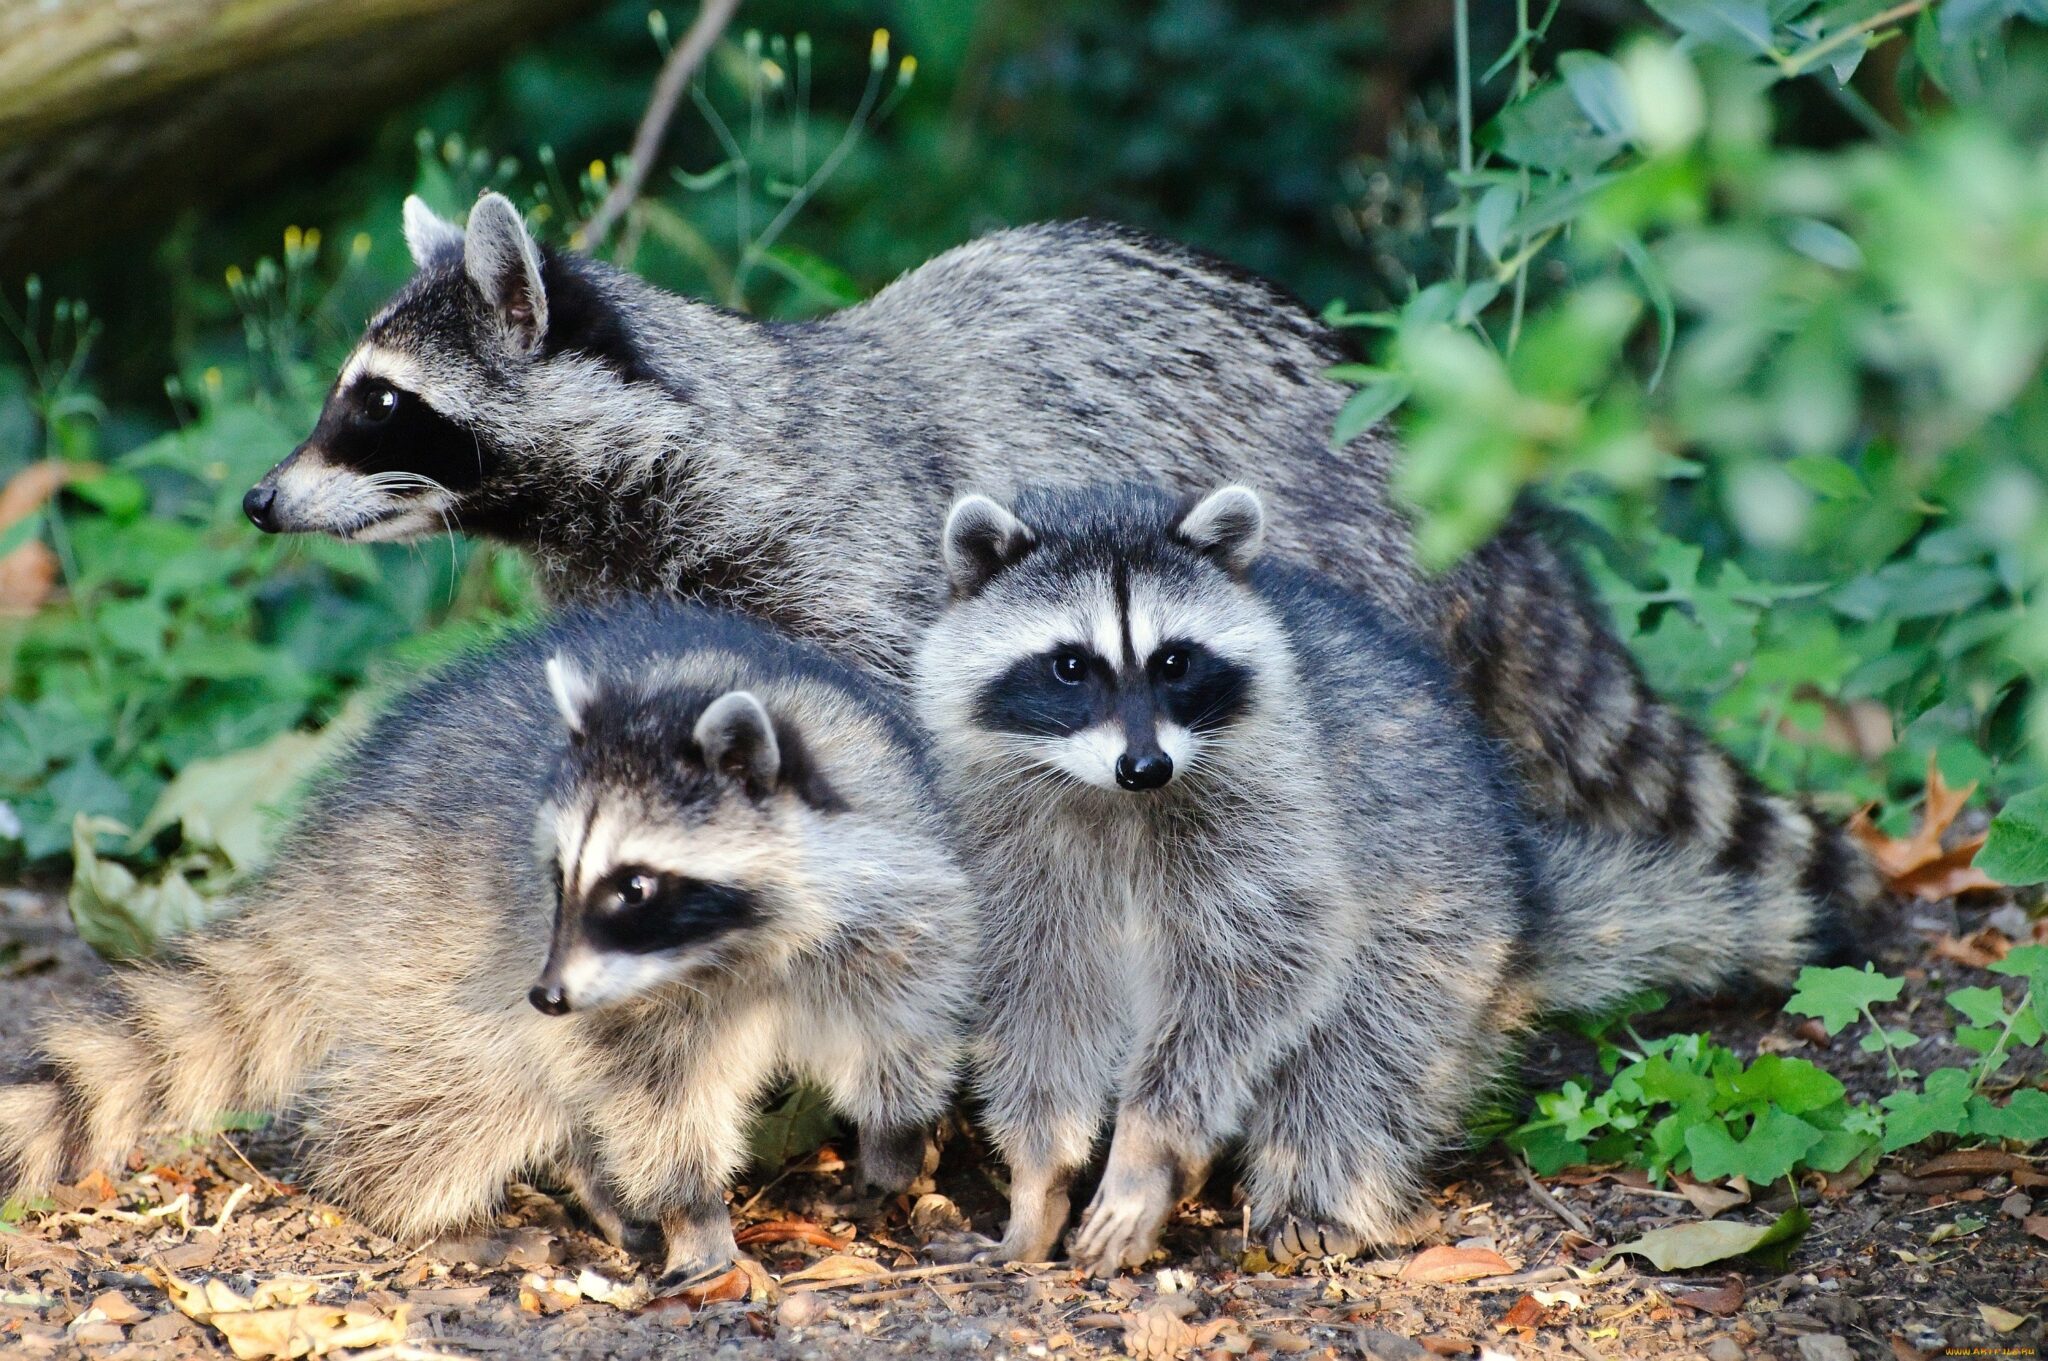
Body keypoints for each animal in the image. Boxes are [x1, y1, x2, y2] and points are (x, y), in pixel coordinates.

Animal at [0, 601, 974, 1277]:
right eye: (557, 875)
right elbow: (653, 1100)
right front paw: (693, 1210)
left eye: (634, 884)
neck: (738, 949)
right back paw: (415, 1203)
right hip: (429, 932)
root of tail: (322, 865)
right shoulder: (610, 992)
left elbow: (903, 1018)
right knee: (468, 1087)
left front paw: (895, 1135)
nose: (547, 992)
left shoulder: (896, 885)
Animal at [921, 483, 1851, 1268]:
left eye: (1176, 661)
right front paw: (1039, 1175)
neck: (1110, 798)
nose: (1146, 765)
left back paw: (1314, 1190)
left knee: (1362, 1047)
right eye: (1071, 665)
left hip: (1444, 914)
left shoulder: (1273, 802)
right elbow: (1041, 993)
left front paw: (1148, 1147)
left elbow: (1261, 963)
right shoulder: (1006, 837)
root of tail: (1525, 897)